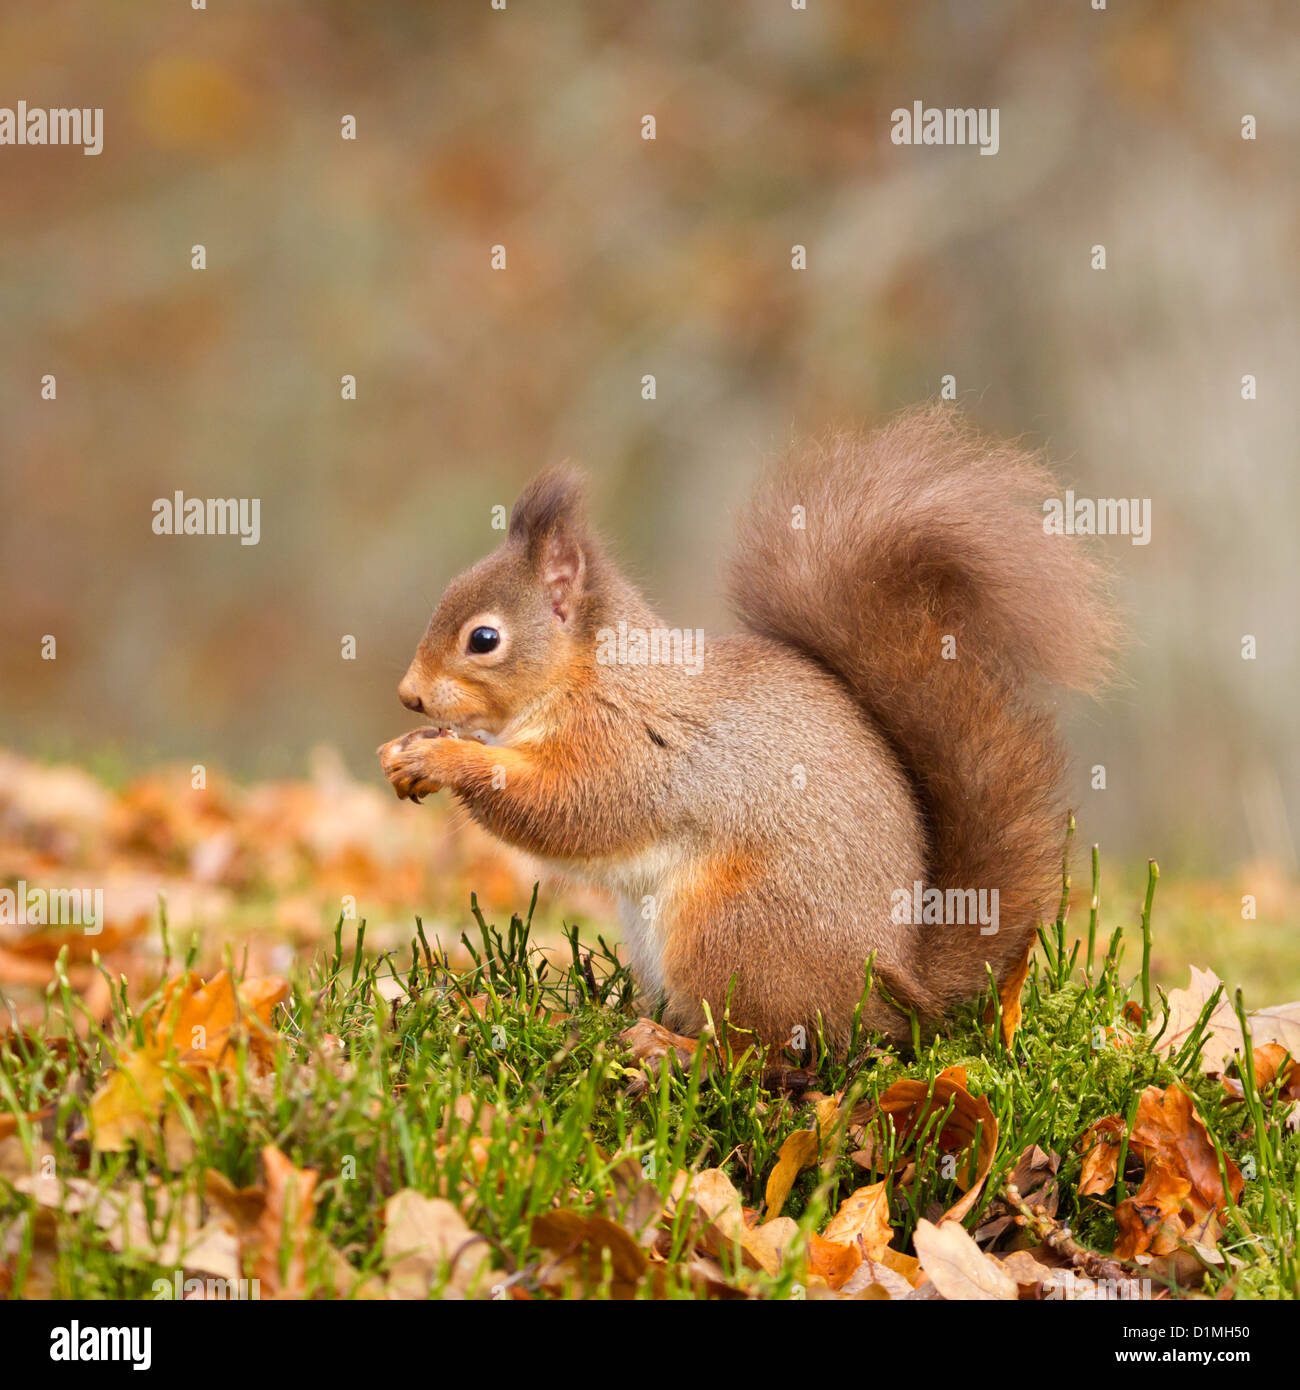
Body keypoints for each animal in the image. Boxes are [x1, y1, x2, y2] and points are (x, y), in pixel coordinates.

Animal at [378, 405, 1117, 1045]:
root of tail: (892, 988)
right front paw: (409, 751)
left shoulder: (632, 745)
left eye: (484, 639)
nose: (409, 696)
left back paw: (669, 1052)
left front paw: (443, 760)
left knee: (759, 1052)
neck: (589, 676)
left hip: (733, 931)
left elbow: (569, 808)